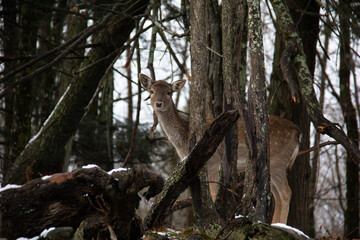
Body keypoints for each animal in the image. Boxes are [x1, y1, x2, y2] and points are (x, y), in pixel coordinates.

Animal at [141, 72, 300, 223]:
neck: (184, 140)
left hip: (278, 161)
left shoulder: (212, 162)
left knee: (286, 193)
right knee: (276, 195)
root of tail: (298, 134)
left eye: (169, 92)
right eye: (151, 91)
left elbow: (212, 194)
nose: (158, 103)